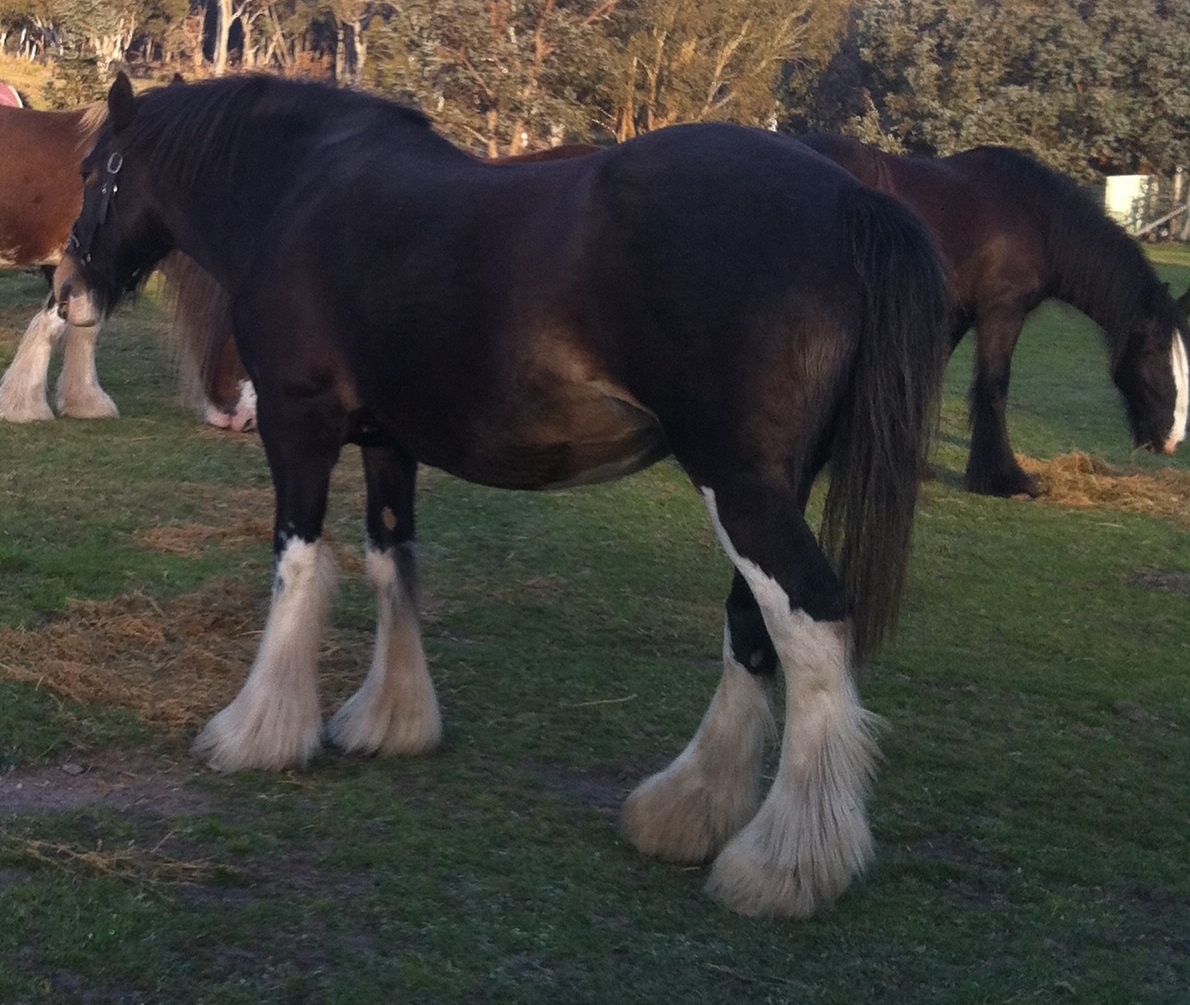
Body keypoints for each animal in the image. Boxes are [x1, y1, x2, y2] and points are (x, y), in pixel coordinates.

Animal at [58, 74, 947, 922]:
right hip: (768, 487)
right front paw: (391, 721)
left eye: (92, 169)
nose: (66, 288)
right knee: (753, 628)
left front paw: (256, 731)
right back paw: (687, 812)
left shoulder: (296, 426)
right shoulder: (387, 442)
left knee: (811, 624)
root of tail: (852, 201)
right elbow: (390, 561)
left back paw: (782, 865)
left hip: (740, 484)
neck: (297, 188)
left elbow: (297, 566)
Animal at [799, 133, 1190, 494]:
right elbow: (993, 386)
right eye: (1153, 352)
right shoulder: (1003, 310)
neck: (1036, 217)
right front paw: (1005, 479)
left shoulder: (955, 316)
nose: (1172, 438)